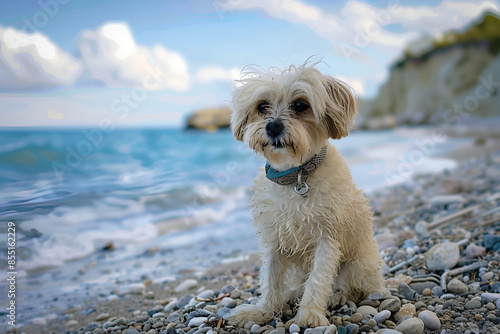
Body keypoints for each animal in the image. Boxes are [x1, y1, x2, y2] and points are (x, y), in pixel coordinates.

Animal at [225, 61, 388, 328]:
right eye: (262, 106)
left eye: (301, 105)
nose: (273, 126)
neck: (296, 176)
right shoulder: (274, 240)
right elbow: (269, 280)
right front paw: (263, 311)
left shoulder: (328, 239)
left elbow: (318, 279)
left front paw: (310, 314)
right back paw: (292, 294)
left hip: (357, 265)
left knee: (349, 285)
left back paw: (338, 296)